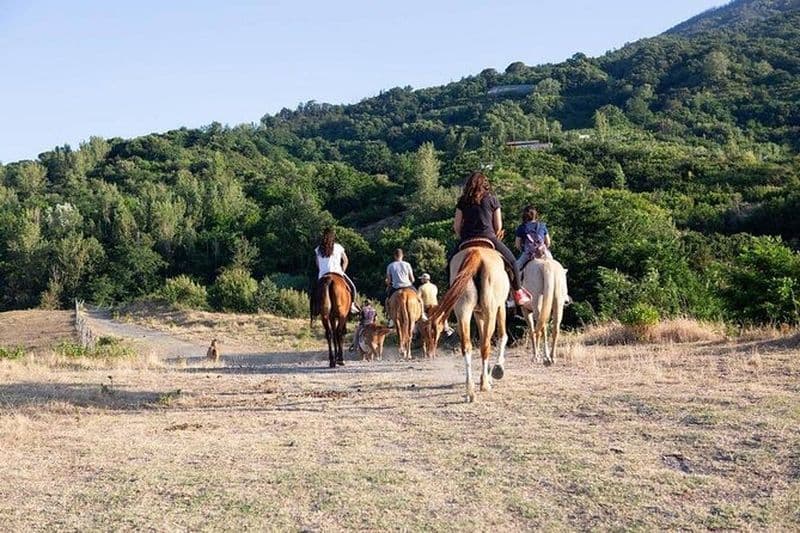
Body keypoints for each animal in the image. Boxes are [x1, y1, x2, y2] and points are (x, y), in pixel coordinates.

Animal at [429, 244, 509, 403]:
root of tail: (476, 253)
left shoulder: (478, 313)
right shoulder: (500, 307)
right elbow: (503, 336)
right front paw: (497, 369)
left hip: (463, 310)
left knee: (467, 346)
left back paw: (470, 390)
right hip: (490, 310)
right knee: (485, 345)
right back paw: (484, 384)